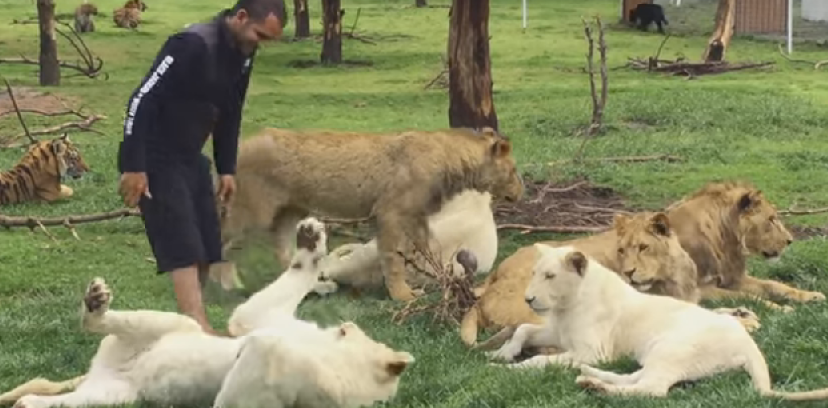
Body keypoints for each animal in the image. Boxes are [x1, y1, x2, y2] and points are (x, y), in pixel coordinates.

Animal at [0, 217, 414, 408]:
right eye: (343, 330)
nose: (344, 325)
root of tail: (101, 372)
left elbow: (254, 365)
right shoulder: (256, 318)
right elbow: (269, 302)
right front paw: (310, 239)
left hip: (116, 395)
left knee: (50, 393)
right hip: (165, 328)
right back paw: (95, 300)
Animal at [488, 244, 828, 400]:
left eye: (550, 276)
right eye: (534, 273)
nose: (528, 299)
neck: (566, 306)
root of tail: (748, 343)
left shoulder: (592, 350)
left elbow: (539, 360)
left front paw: (510, 369)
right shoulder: (557, 333)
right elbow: (523, 329)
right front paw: (500, 354)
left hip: (671, 349)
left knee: (652, 388)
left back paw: (596, 385)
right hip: (656, 354)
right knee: (636, 378)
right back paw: (589, 378)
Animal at [664, 180, 824, 308]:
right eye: (771, 219)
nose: (790, 240)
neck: (726, 243)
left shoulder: (734, 278)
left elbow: (772, 284)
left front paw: (812, 296)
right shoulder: (700, 289)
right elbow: (745, 296)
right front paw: (780, 308)